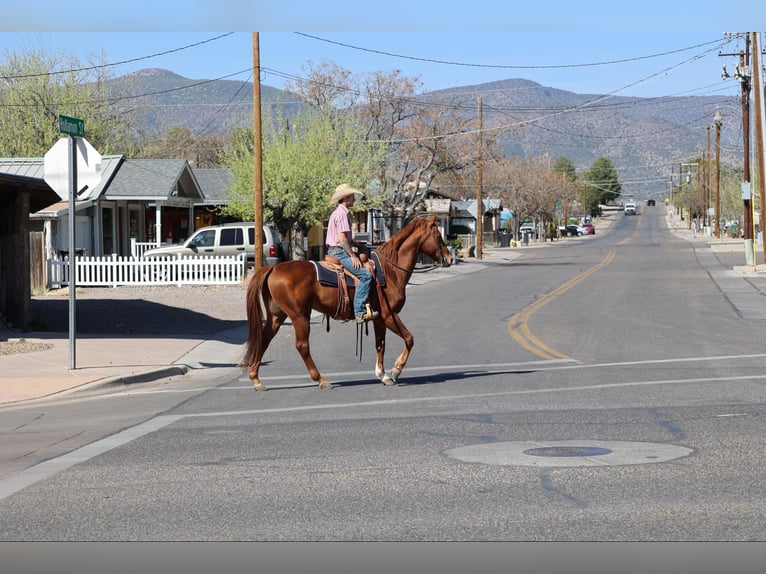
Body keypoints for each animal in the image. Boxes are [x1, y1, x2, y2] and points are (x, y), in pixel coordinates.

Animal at [241, 215, 453, 390]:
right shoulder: (389, 315)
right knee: (302, 346)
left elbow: (381, 344)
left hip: (277, 315)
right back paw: (321, 380)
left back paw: (256, 379)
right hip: (299, 316)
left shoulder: (379, 319)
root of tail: (273, 269)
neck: (389, 270)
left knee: (264, 339)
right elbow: (409, 339)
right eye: (438, 235)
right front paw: (395, 371)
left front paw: (382, 374)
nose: (450, 258)